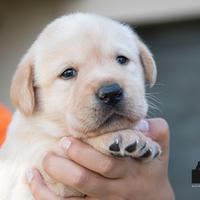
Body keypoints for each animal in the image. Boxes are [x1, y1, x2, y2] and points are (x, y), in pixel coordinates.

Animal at [0, 13, 161, 199]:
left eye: (122, 59)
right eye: (68, 73)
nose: (111, 93)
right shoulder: (36, 167)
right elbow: (69, 143)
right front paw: (122, 136)